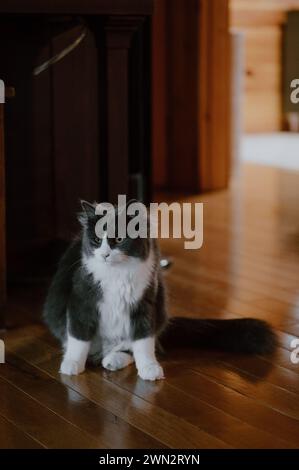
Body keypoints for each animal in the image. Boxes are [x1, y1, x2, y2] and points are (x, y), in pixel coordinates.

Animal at [43, 200, 278, 380]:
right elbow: (78, 339)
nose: (105, 254)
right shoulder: (81, 302)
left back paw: (112, 360)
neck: (117, 275)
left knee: (131, 348)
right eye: (96, 240)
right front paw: (72, 365)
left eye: (118, 239)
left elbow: (144, 343)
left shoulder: (145, 304)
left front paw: (149, 369)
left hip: (159, 313)